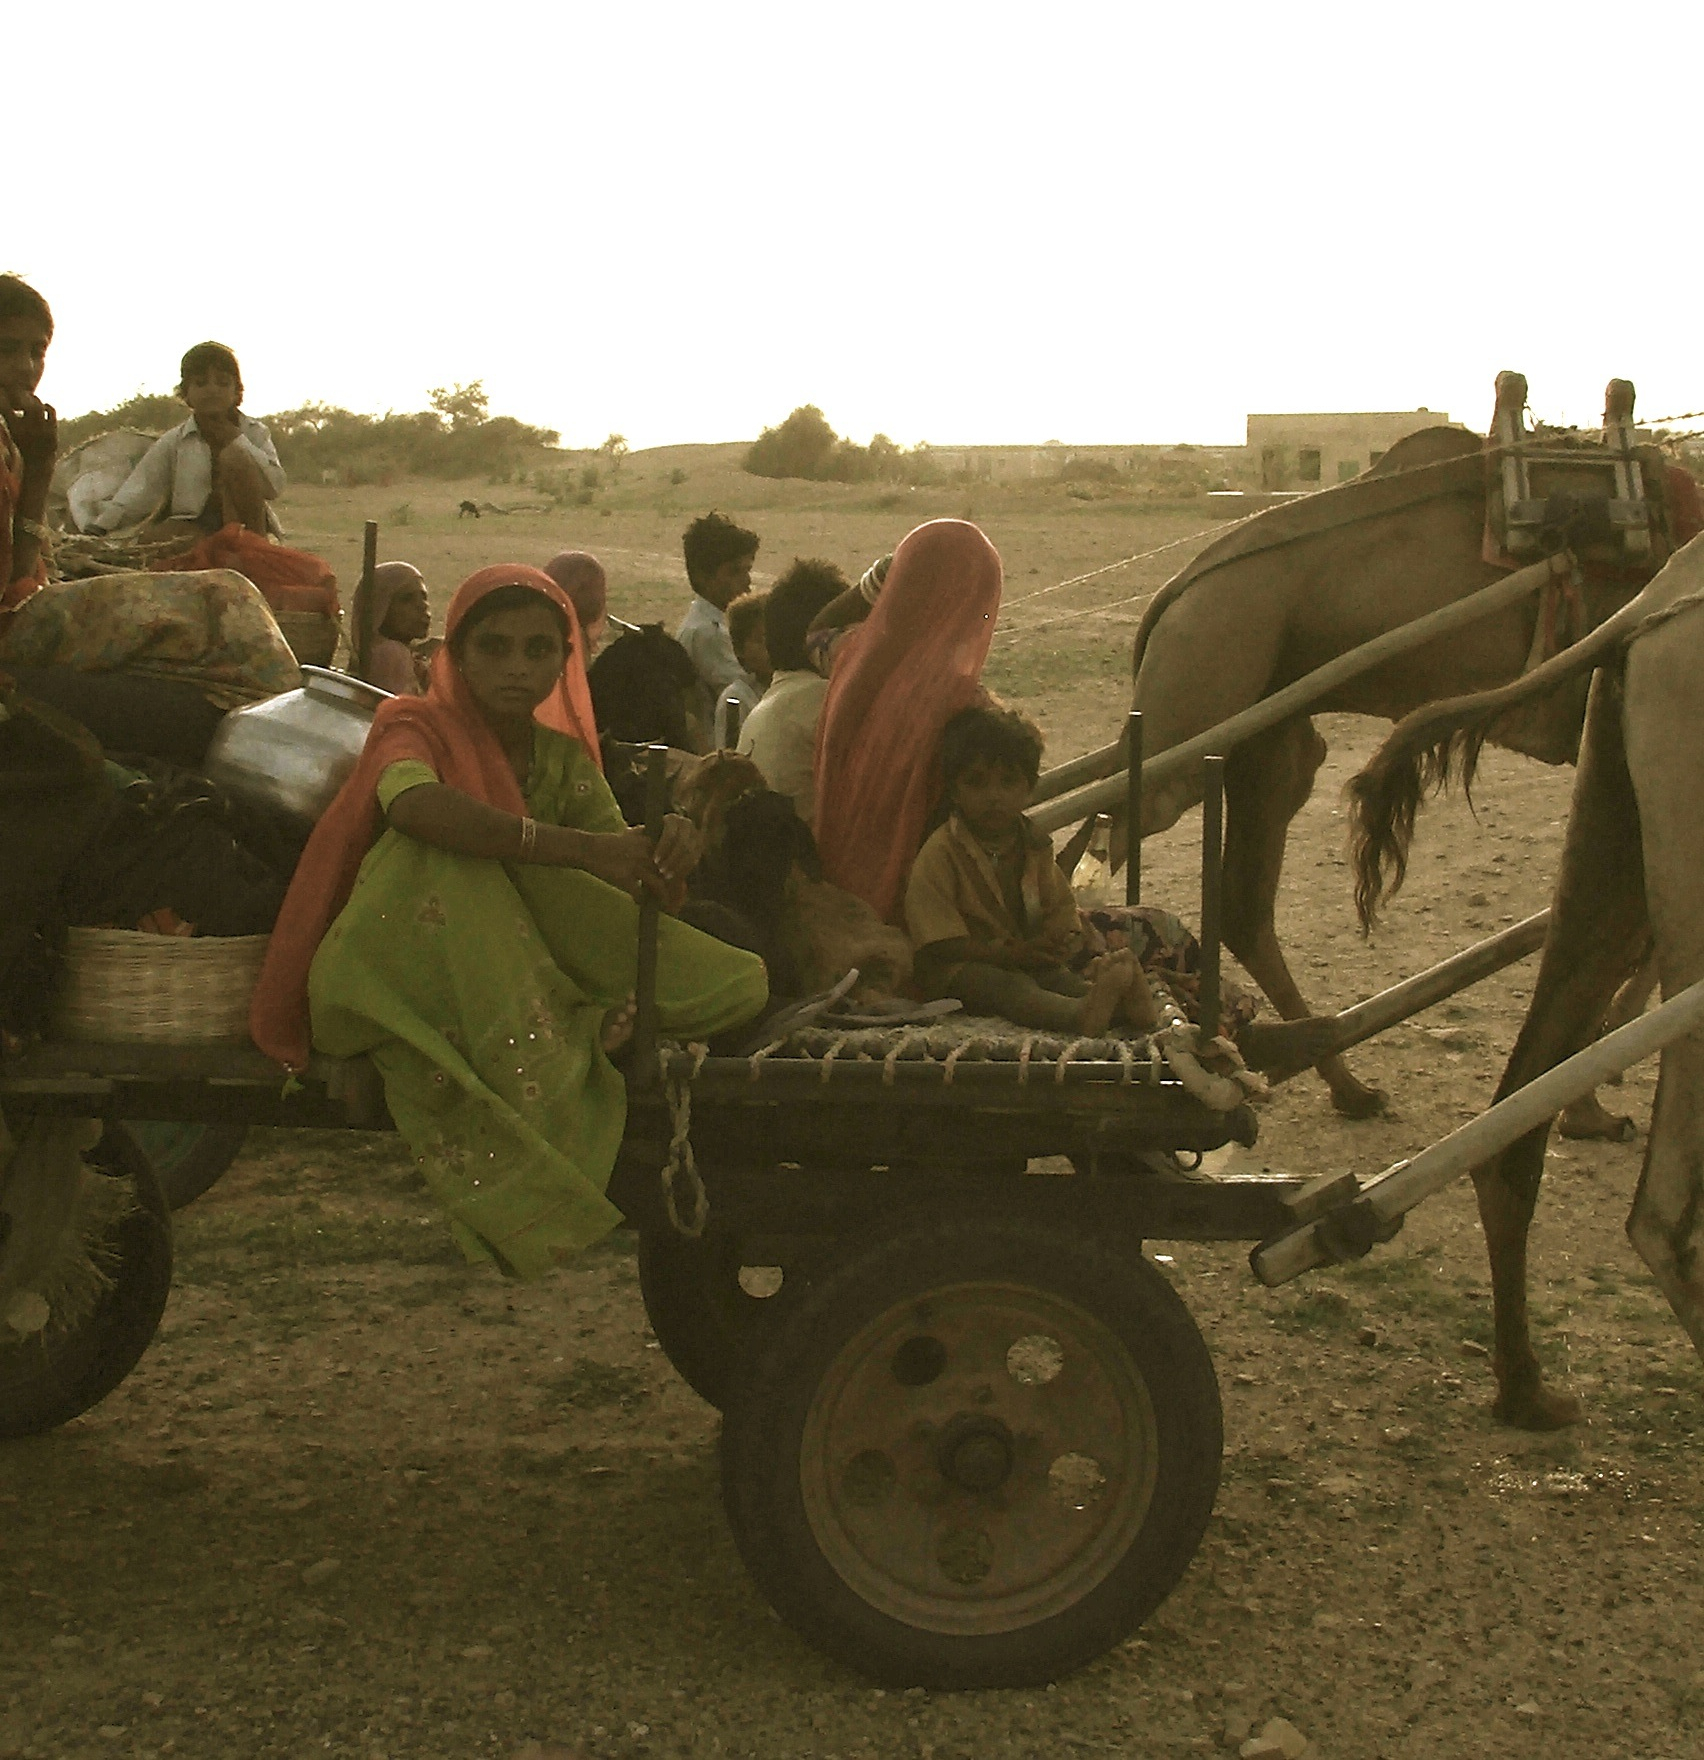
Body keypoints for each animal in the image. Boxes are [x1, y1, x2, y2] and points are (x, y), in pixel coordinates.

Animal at [1112, 418, 1682, 1119]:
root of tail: (1178, 587)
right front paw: (1591, 1098)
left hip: (1268, 735)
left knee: (1240, 900)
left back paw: (1348, 1087)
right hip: (1204, 676)